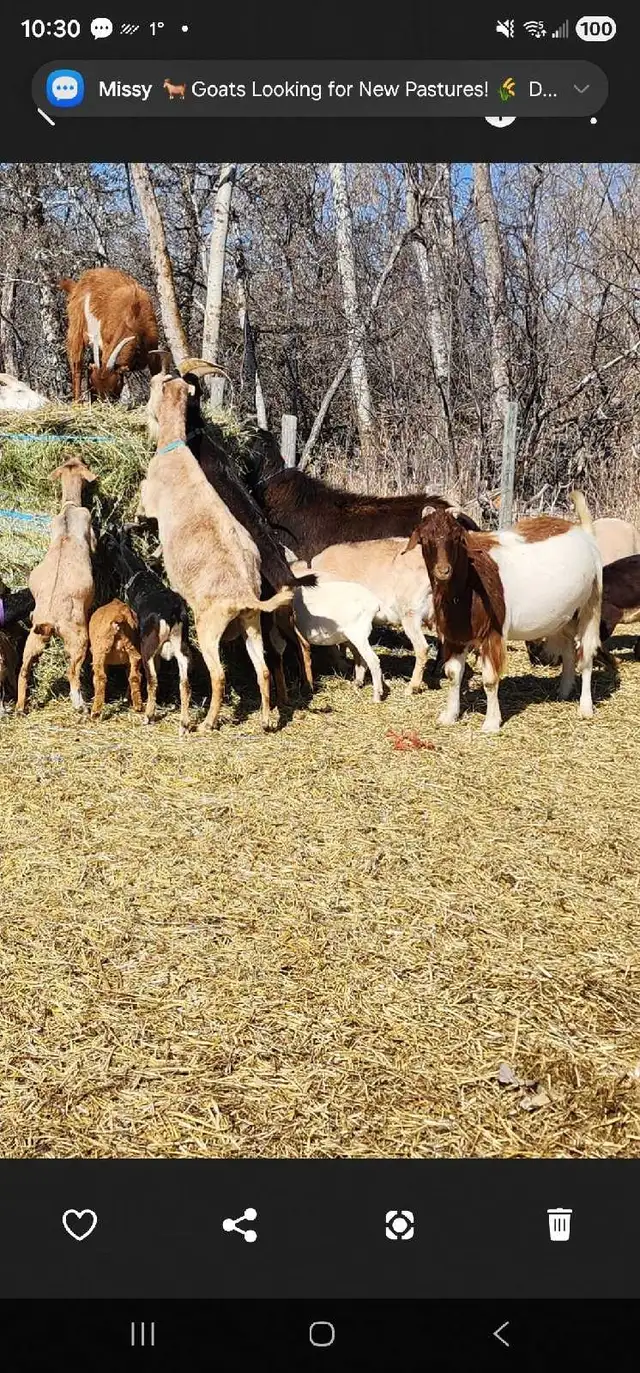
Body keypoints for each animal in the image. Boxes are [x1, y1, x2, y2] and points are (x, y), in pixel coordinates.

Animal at [16, 457, 97, 713]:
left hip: (33, 638)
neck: (69, 509)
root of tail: (50, 622)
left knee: (24, 669)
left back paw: (20, 706)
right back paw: (80, 705)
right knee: (72, 671)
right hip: (78, 638)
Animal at [59, 268, 162, 402]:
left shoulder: (152, 346)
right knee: (77, 365)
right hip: (76, 328)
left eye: (115, 385)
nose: (105, 403)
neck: (134, 317)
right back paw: (78, 402)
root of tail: (78, 285)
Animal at [101, 529, 192, 732]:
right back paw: (184, 724)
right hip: (181, 646)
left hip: (148, 646)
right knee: (184, 682)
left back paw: (148, 716)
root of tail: (172, 613)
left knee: (153, 679)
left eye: (108, 543)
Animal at [140, 374, 293, 731]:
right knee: (263, 669)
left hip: (208, 629)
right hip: (252, 625)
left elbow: (143, 513)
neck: (176, 449)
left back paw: (207, 722)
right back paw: (267, 719)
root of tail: (244, 595)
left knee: (219, 675)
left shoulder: (148, 502)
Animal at [406, 492, 602, 733]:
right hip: (563, 615)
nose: (443, 571)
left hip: (590, 606)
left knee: (586, 654)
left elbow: (490, 679)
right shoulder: (455, 635)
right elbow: (452, 673)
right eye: (424, 539)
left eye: (456, 538)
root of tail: (583, 533)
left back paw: (585, 708)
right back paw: (563, 691)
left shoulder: (492, 632)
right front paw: (449, 715)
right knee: (568, 649)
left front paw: (491, 723)